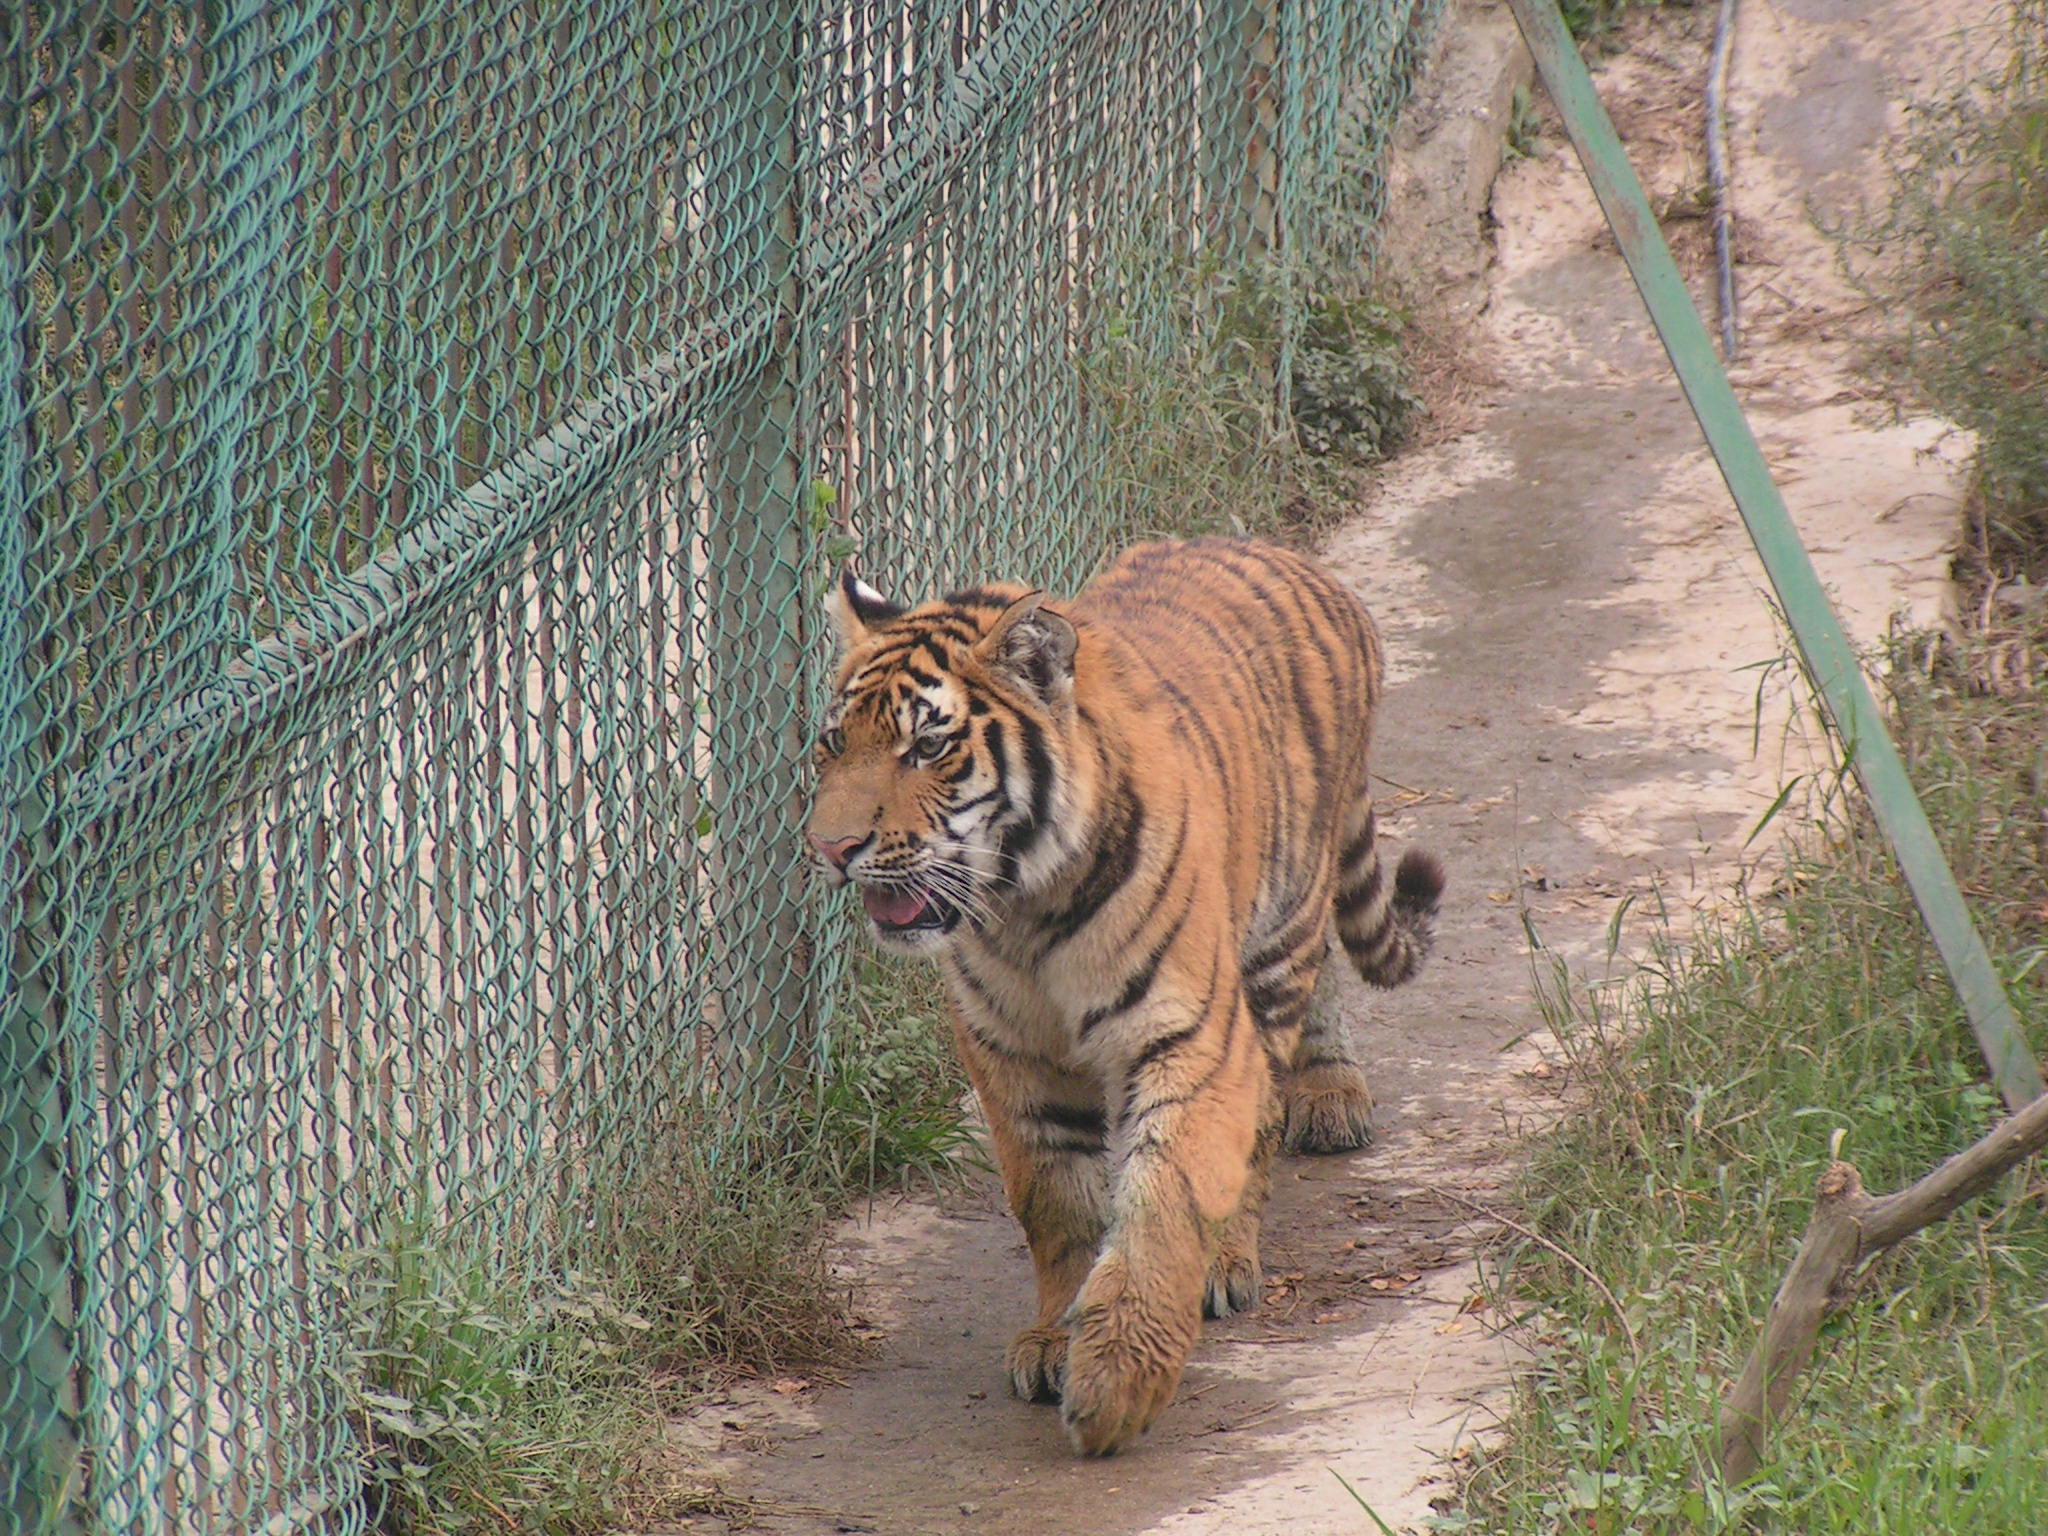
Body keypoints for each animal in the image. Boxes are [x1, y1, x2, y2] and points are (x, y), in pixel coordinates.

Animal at [798, 536, 1441, 1458]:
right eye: (831, 742)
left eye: (927, 748)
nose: (829, 848)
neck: (1026, 907)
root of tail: (1285, 554)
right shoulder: (1010, 1049)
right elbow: (1056, 1201)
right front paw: (1053, 1341)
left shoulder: (1187, 1034)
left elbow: (1165, 1197)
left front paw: (1117, 1383)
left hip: (1276, 939)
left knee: (1271, 1087)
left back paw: (1254, 1212)